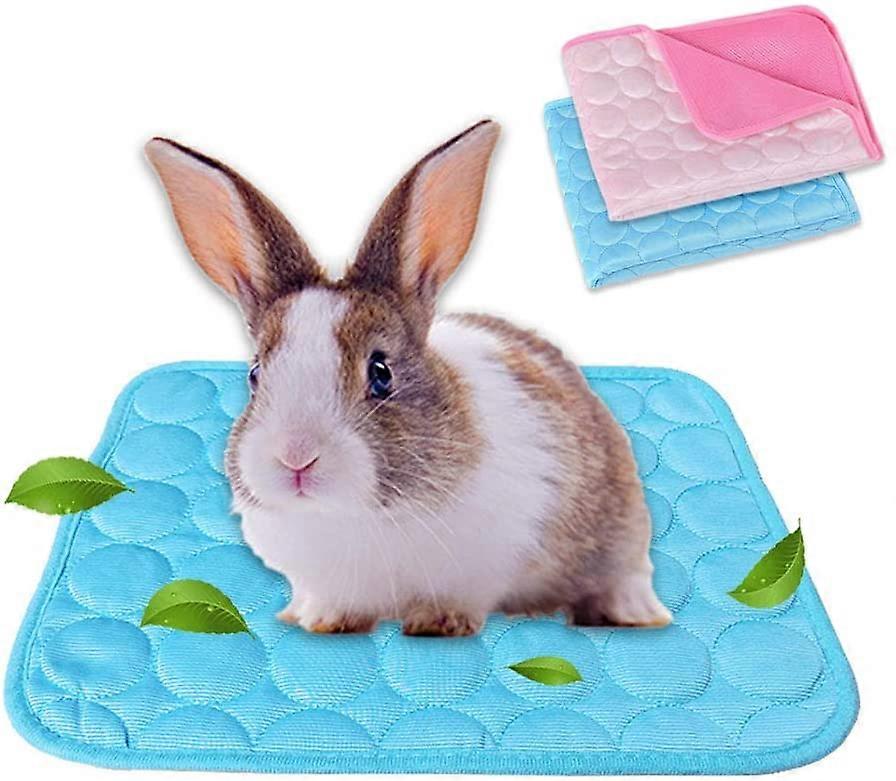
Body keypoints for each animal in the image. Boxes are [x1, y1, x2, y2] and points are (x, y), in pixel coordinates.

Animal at [145, 121, 672, 636]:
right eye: (256, 374)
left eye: (380, 372)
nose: (296, 458)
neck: (351, 516)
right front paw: (326, 622)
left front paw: (440, 623)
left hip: (622, 537)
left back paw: (632, 613)